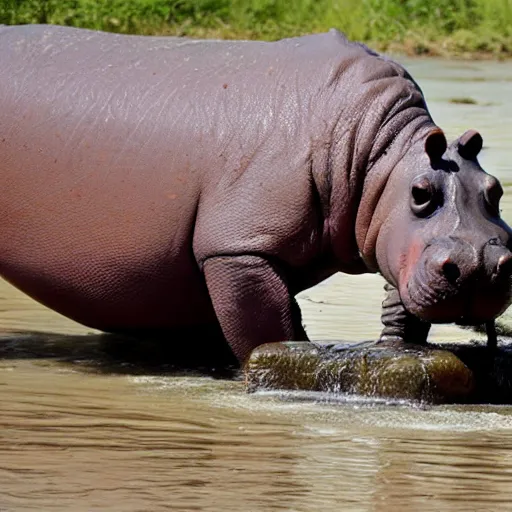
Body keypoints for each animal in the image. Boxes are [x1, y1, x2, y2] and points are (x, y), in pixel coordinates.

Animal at [1, 24, 512, 364]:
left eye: (496, 190)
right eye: (421, 194)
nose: (478, 265)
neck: (381, 156)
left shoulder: (394, 236)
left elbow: (400, 300)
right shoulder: (239, 247)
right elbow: (267, 330)